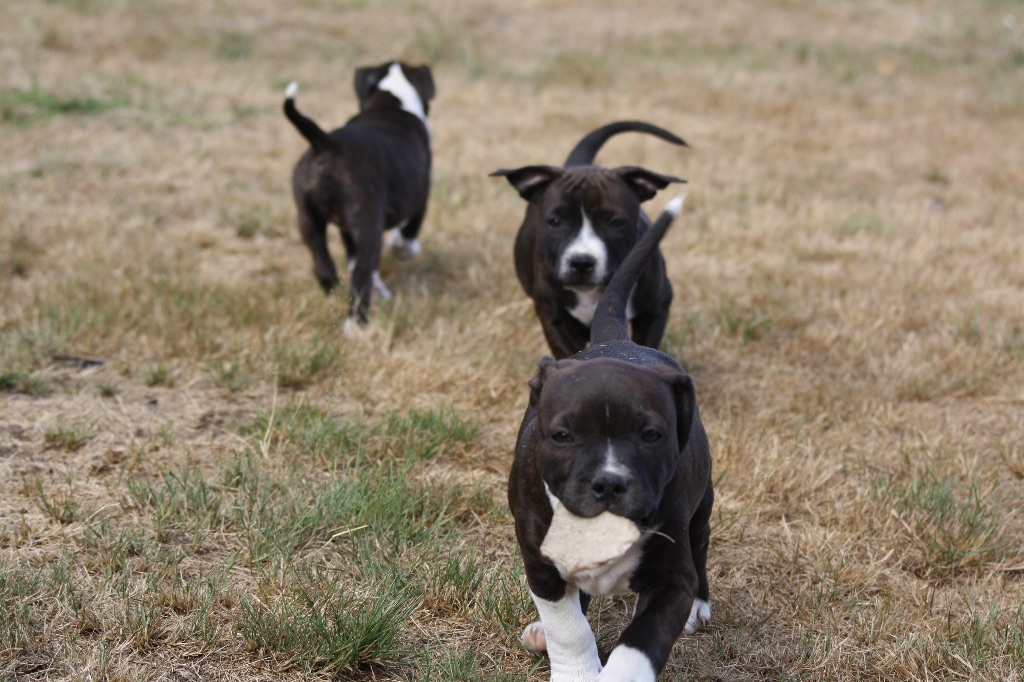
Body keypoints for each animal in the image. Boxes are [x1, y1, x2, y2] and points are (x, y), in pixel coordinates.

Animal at [284, 62, 436, 333]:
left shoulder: (347, 229)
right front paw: (403, 250)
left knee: (325, 267)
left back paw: (337, 298)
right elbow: (408, 235)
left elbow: (352, 260)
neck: (390, 101)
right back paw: (355, 326)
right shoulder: (419, 199)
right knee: (361, 273)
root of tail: (327, 143)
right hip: (368, 225)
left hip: (308, 219)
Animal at [489, 120, 684, 356]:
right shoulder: (553, 317)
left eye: (616, 222)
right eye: (555, 221)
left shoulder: (656, 308)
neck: (594, 294)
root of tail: (581, 164)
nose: (581, 262)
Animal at [507, 193, 716, 675]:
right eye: (562, 436)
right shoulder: (541, 562)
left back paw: (701, 604)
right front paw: (576, 670)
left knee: (701, 540)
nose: (609, 483)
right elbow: (569, 628)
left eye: (652, 435)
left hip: (702, 502)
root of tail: (615, 338)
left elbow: (639, 646)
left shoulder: (671, 580)